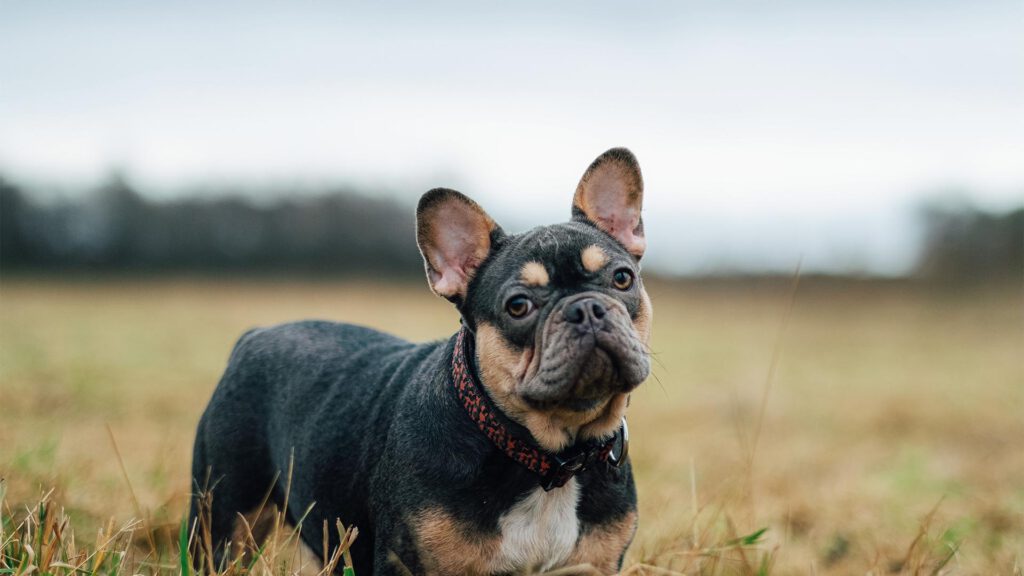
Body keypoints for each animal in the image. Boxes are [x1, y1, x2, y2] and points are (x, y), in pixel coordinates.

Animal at [191, 145, 651, 569]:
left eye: (622, 278)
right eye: (518, 306)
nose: (586, 308)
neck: (549, 458)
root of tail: (255, 335)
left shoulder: (591, 564)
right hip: (225, 515)